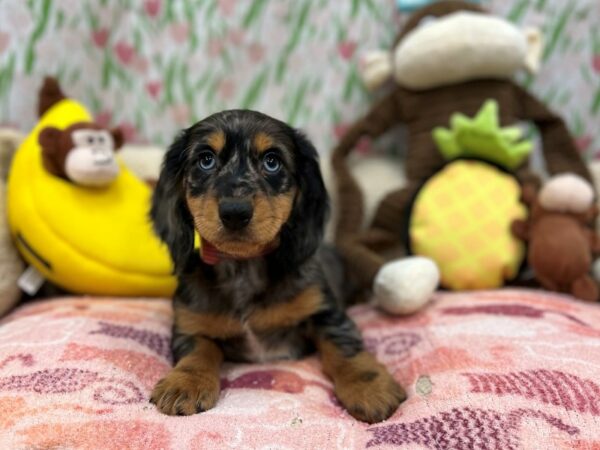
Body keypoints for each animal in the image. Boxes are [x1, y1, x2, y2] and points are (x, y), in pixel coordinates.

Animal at [148, 109, 406, 422]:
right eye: (205, 159)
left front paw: (370, 387)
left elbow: (344, 347)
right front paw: (185, 383)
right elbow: (198, 351)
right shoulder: (191, 325)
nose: (235, 212)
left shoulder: (324, 311)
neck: (243, 268)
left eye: (272, 161)